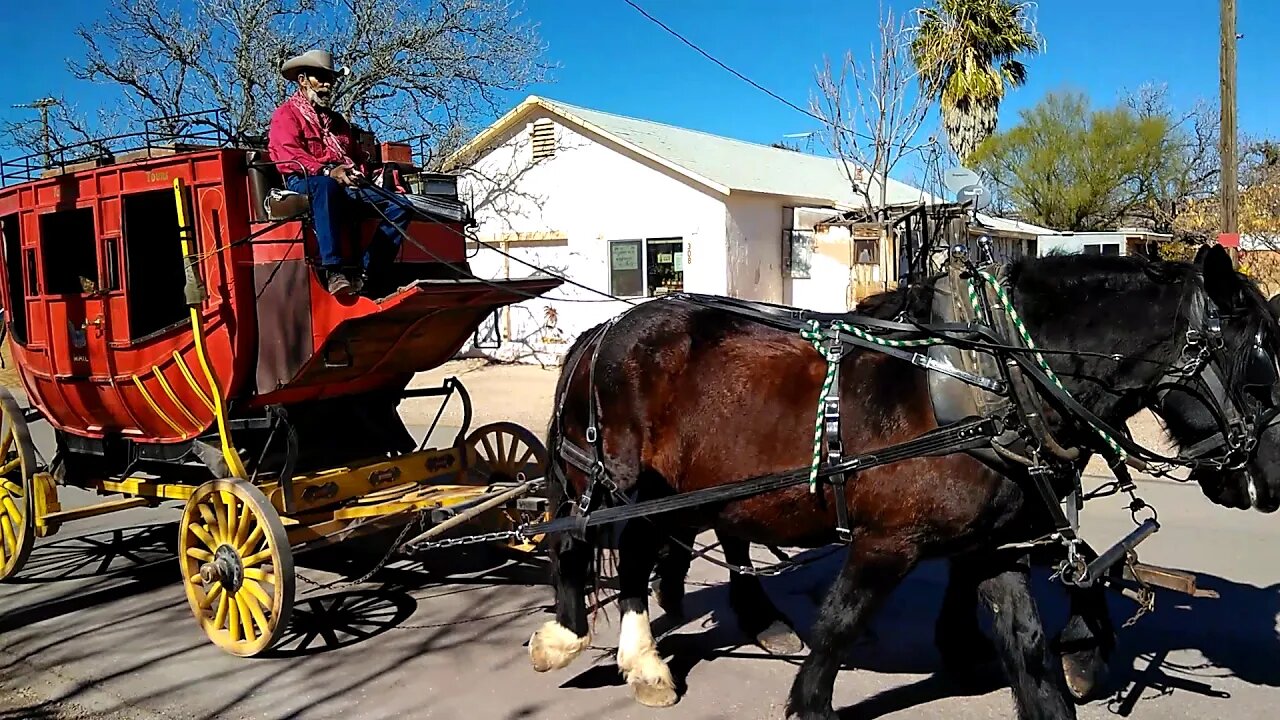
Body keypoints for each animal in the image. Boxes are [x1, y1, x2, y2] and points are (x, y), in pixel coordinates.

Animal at [522, 245, 1280, 717]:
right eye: (1259, 365)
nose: (1271, 480)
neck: (994, 380)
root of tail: (605, 329)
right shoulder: (887, 541)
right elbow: (837, 629)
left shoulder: (994, 549)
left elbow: (1030, 651)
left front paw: (1063, 660)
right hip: (620, 478)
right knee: (600, 543)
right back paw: (599, 645)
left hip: (674, 487)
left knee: (646, 548)